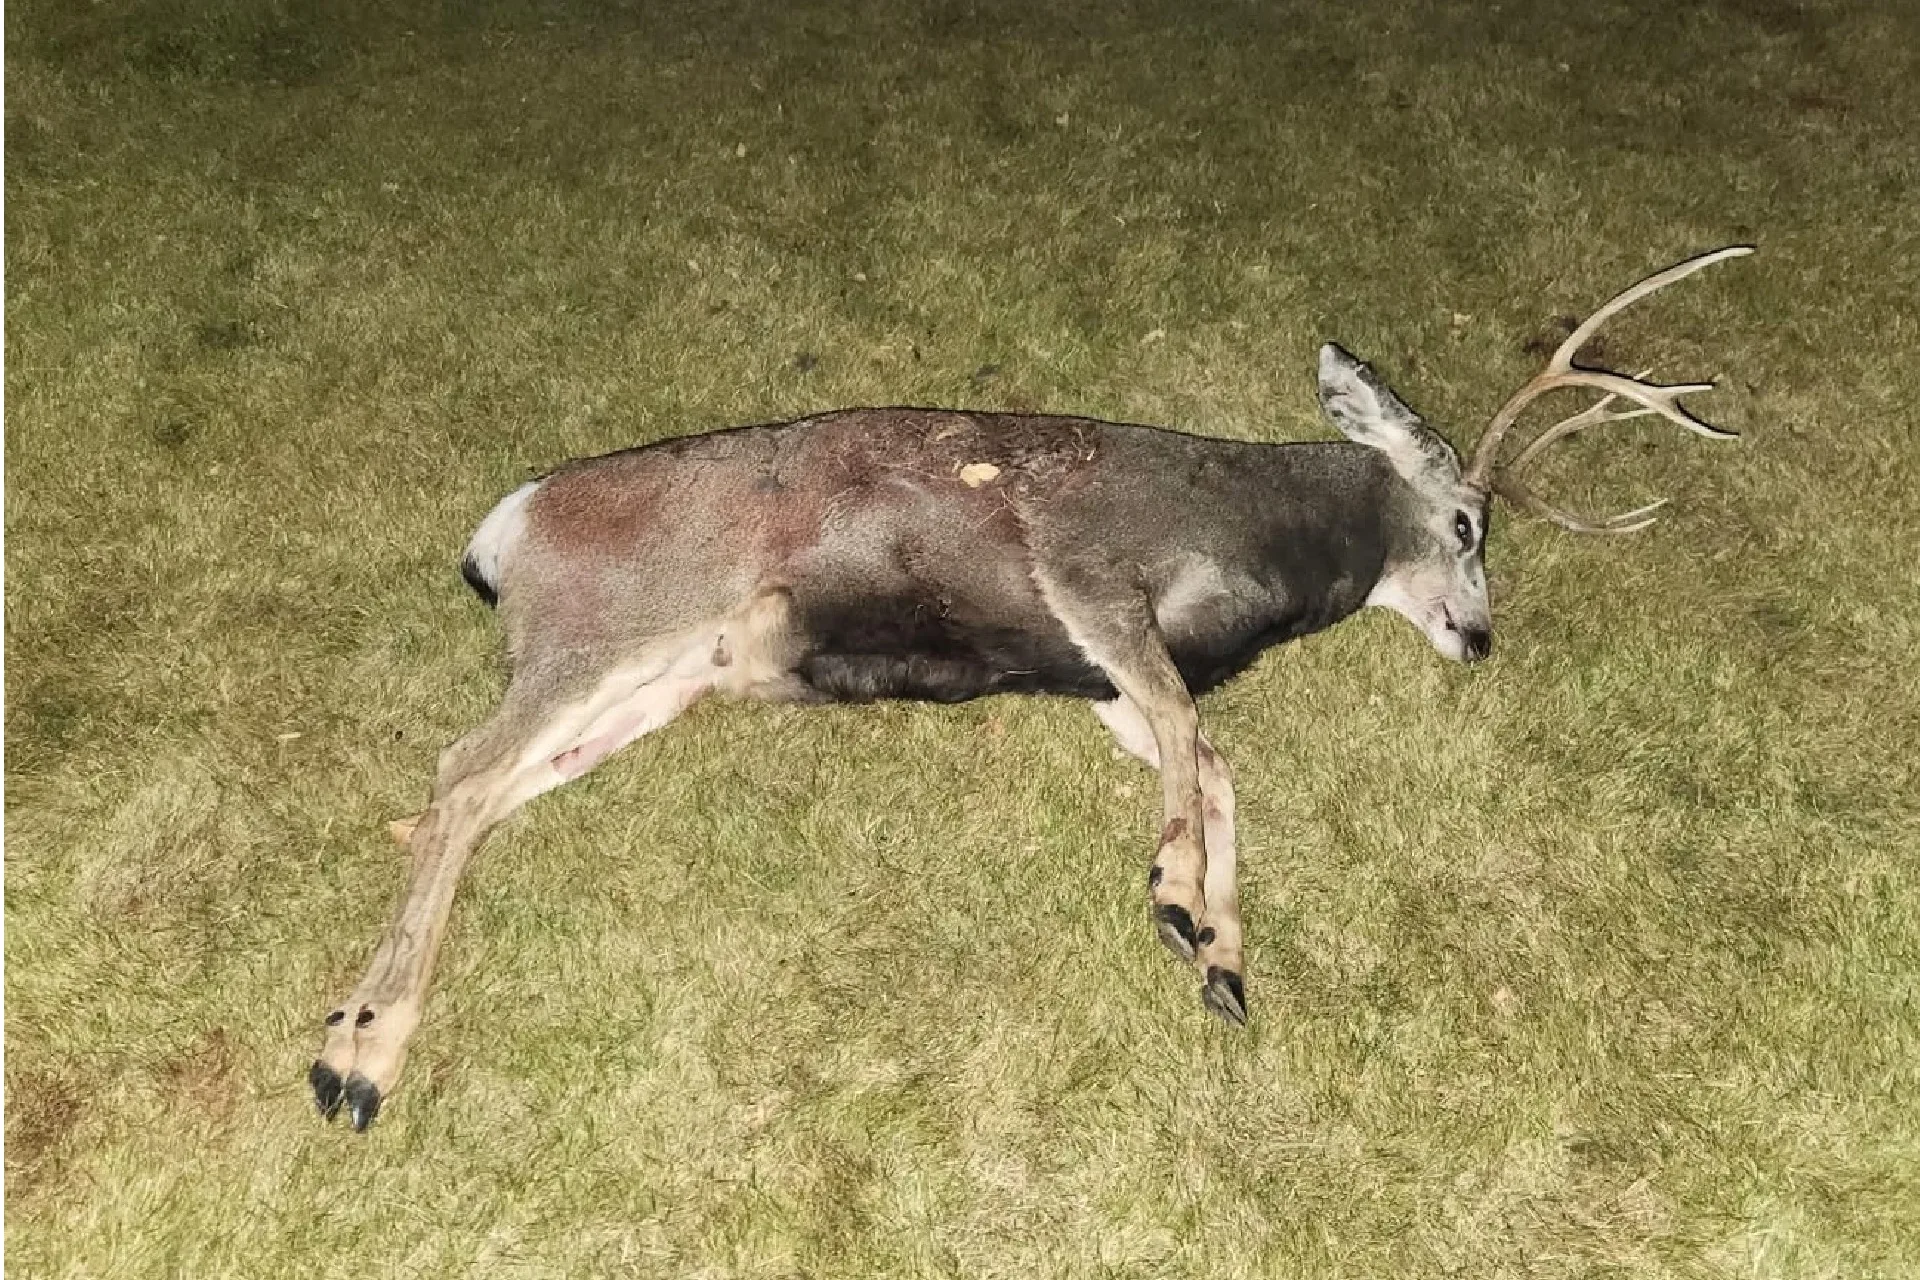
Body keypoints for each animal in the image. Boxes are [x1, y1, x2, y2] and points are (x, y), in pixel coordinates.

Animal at [310, 246, 1752, 1130]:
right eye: (1464, 524)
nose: (1482, 640)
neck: (1269, 539)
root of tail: (507, 530)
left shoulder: (1102, 672)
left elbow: (1210, 758)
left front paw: (1223, 955)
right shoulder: (1089, 563)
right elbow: (1193, 729)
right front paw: (1177, 899)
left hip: (652, 686)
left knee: (470, 797)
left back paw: (350, 1023)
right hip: (608, 625)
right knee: (460, 775)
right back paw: (356, 1065)